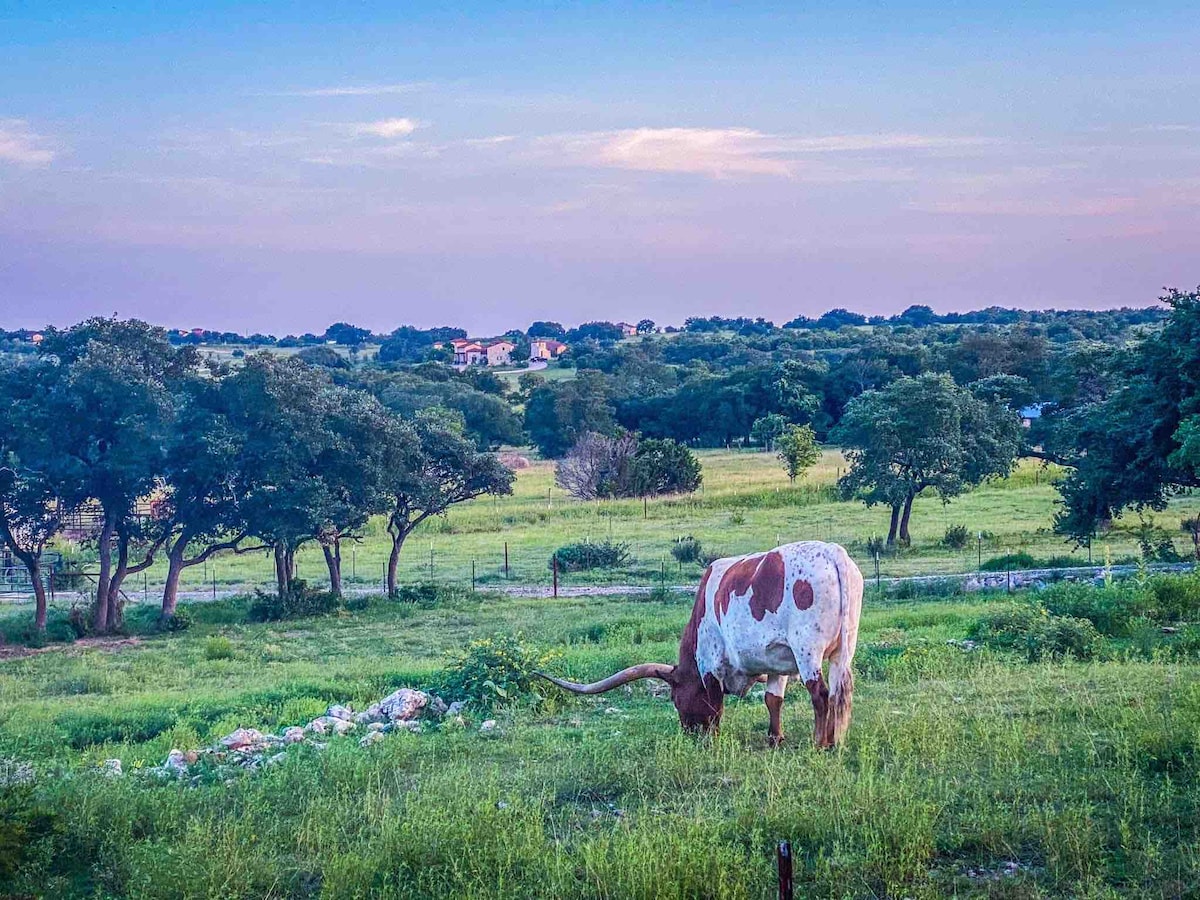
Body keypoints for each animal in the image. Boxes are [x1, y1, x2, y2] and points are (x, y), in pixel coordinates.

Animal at [537, 542, 864, 748]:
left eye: (674, 698)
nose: (689, 734)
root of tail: (833, 554)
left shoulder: (711, 663)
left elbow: (714, 702)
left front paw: (714, 738)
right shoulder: (777, 661)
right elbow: (773, 700)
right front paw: (775, 738)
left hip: (808, 651)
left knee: (820, 695)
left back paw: (819, 743)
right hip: (842, 651)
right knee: (838, 693)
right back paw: (834, 741)